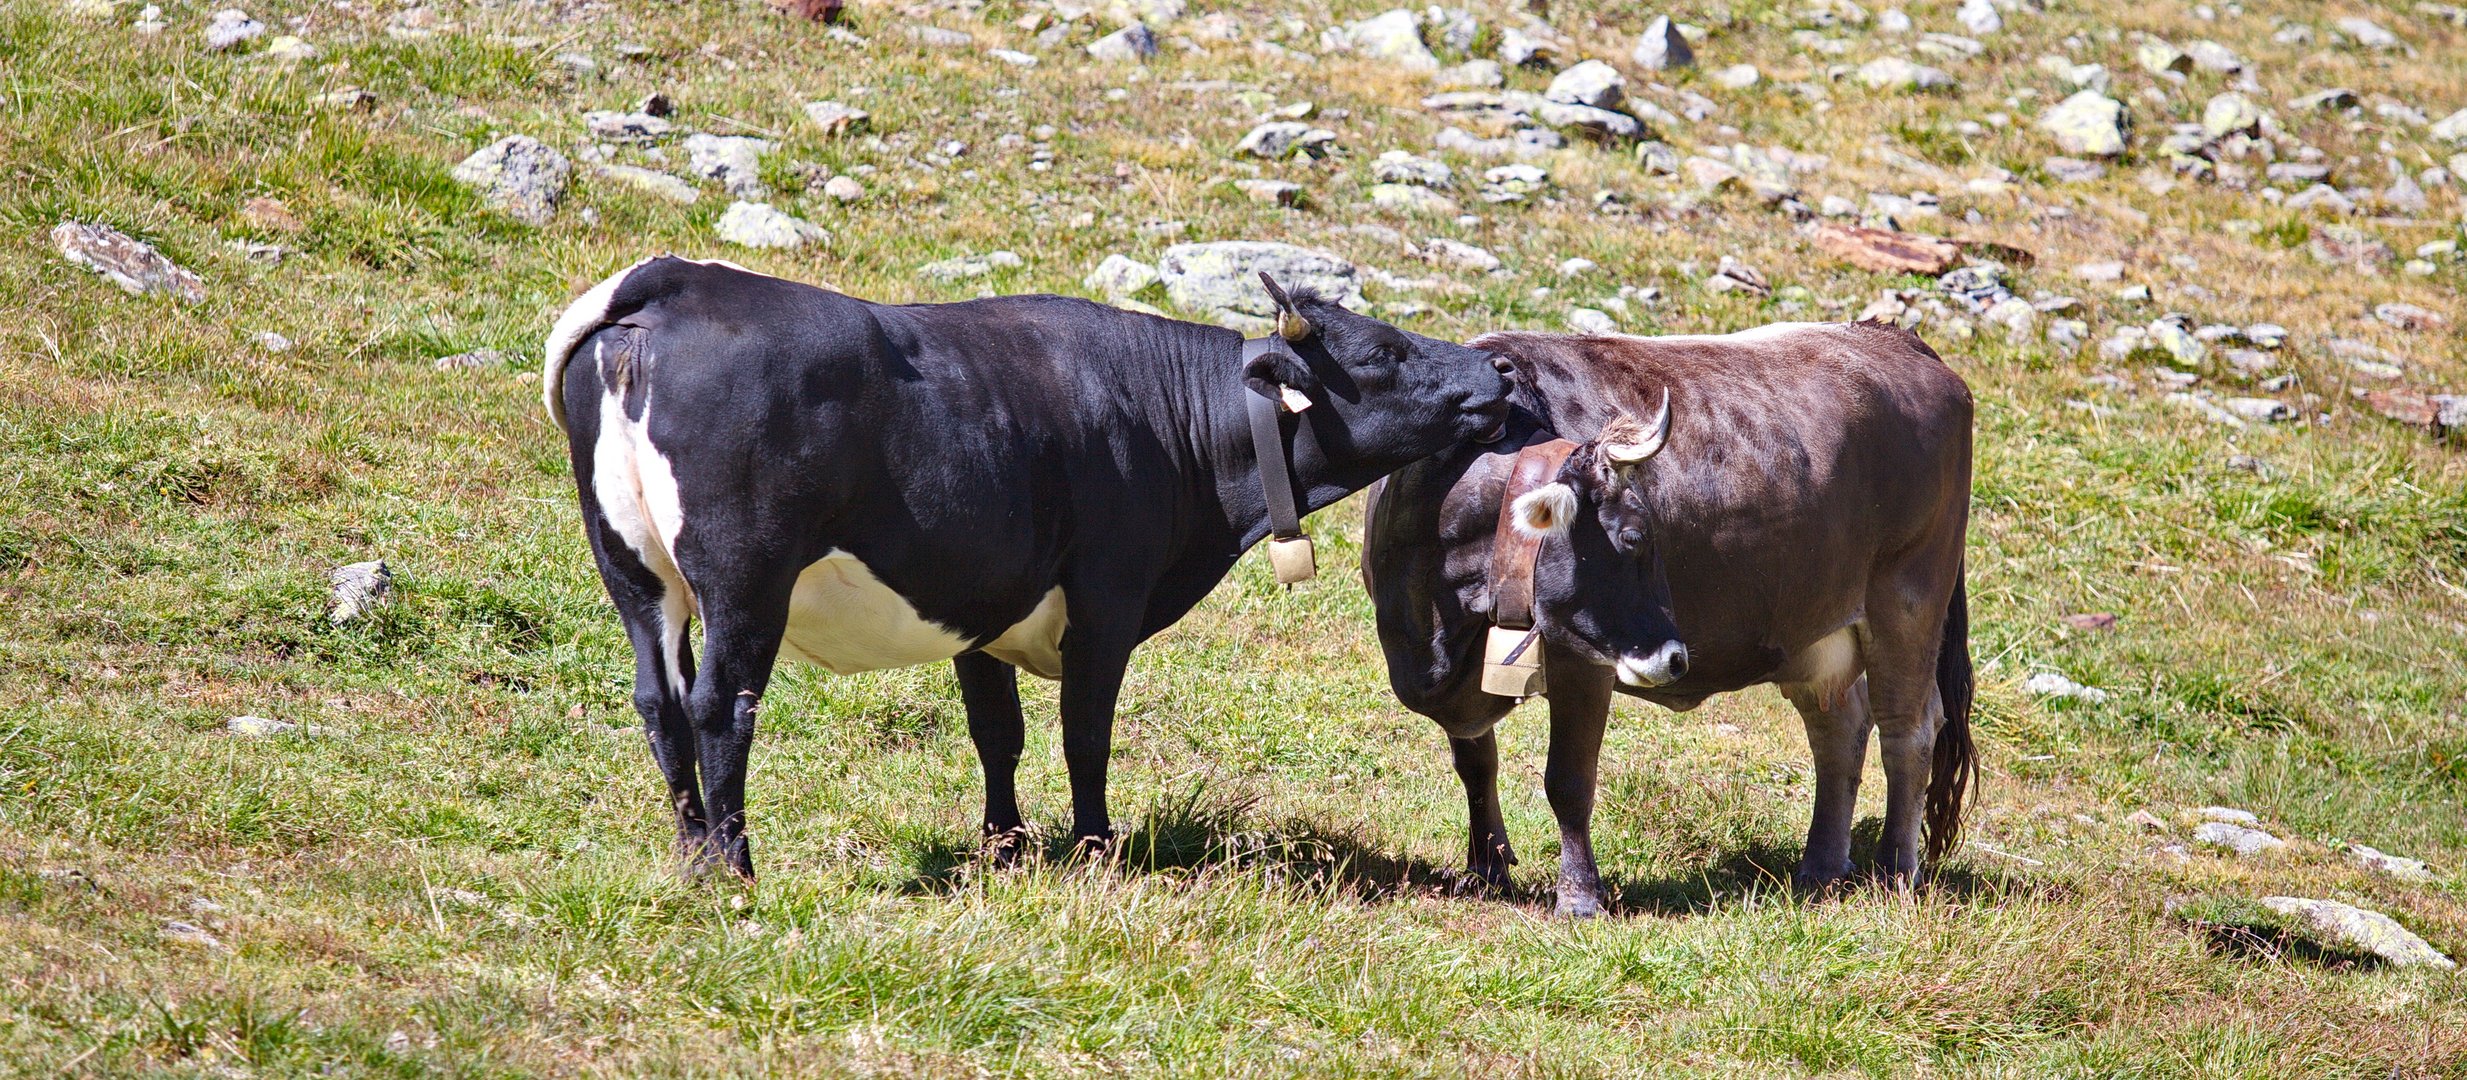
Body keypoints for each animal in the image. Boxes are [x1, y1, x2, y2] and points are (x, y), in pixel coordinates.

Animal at [545, 257, 1499, 882]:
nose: (1493, 368)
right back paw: (731, 868)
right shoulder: (1107, 598)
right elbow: (1085, 731)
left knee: (659, 701)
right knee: (720, 705)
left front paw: (1002, 847)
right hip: (746, 578)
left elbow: (995, 733)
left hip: (632, 571)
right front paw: (1094, 850)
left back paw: (687, 859)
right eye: (1381, 352)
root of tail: (677, 281)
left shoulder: (979, 598)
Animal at [1361, 318, 1973, 912]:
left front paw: (1579, 897)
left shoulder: (1581, 660)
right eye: (1634, 537)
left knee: (1908, 730)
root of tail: (1895, 339)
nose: (1676, 657)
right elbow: (1476, 762)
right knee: (1840, 728)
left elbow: (1568, 780)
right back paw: (1820, 870)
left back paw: (1895, 874)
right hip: (1814, 634)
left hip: (1908, 602)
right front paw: (1487, 869)